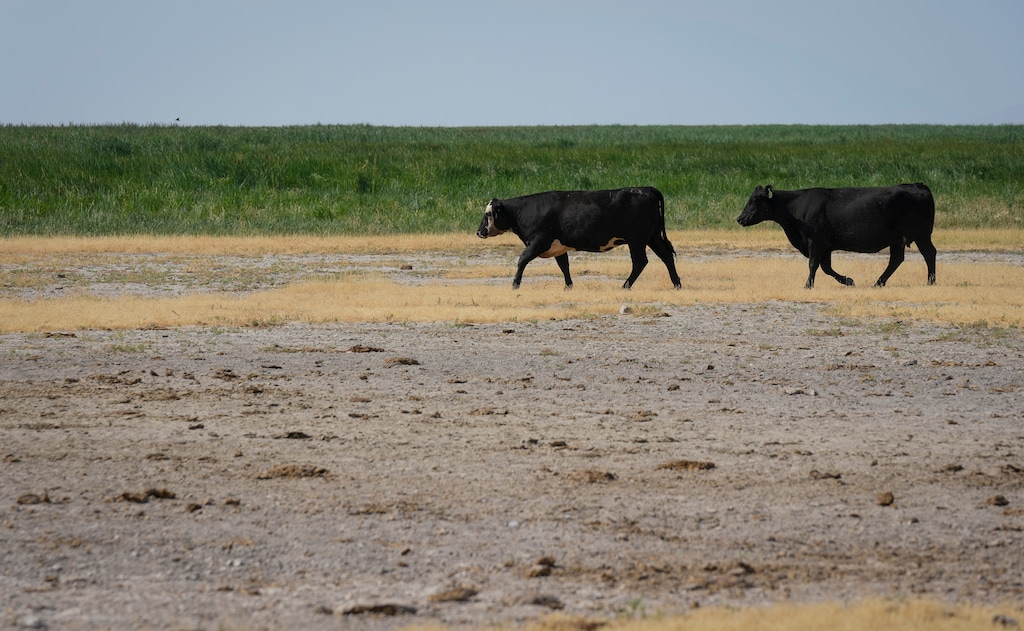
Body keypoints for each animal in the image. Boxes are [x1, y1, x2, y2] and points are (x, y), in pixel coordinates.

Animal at [476, 187, 682, 290]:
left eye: (488, 214)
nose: (479, 232)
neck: (525, 210)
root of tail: (646, 189)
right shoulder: (558, 247)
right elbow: (564, 266)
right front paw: (568, 286)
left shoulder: (538, 241)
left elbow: (522, 260)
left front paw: (515, 284)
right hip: (653, 237)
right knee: (666, 256)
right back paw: (677, 283)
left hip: (637, 240)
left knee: (640, 261)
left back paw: (625, 285)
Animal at [736, 183, 937, 288]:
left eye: (754, 200)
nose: (740, 218)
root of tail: (917, 185)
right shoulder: (826, 247)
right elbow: (826, 268)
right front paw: (848, 280)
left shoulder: (816, 243)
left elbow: (813, 265)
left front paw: (808, 285)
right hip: (898, 239)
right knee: (896, 259)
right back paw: (878, 283)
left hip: (921, 235)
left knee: (929, 253)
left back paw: (931, 281)